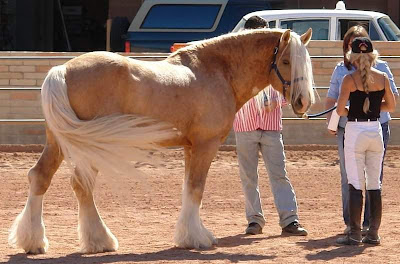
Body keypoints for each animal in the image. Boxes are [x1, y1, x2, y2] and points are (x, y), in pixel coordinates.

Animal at [8, 27, 312, 254]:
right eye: (286, 61)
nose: (302, 102)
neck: (216, 70)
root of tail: (62, 69)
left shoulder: (190, 148)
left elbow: (188, 189)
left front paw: (187, 236)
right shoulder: (206, 145)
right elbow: (196, 188)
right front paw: (197, 238)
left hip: (59, 143)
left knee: (41, 177)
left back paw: (36, 242)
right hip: (88, 145)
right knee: (80, 186)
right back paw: (100, 241)